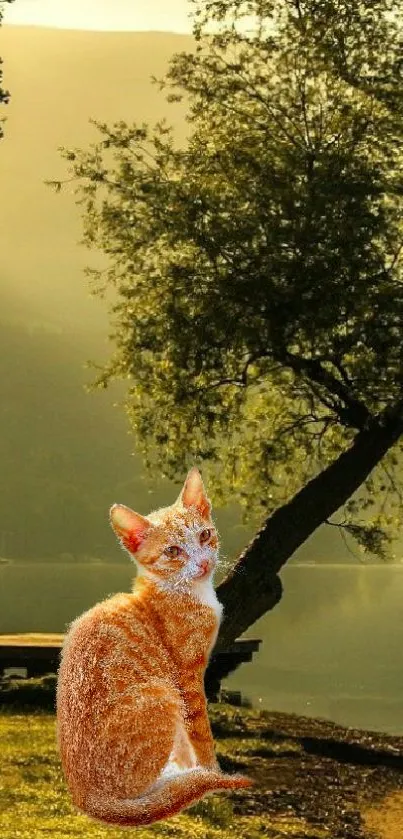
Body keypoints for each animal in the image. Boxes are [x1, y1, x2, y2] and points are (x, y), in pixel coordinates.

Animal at [56, 466, 252, 828]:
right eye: (173, 551)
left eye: (205, 536)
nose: (203, 564)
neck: (182, 591)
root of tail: (83, 796)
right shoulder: (187, 678)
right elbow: (200, 733)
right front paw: (210, 772)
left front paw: (195, 768)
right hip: (162, 694)